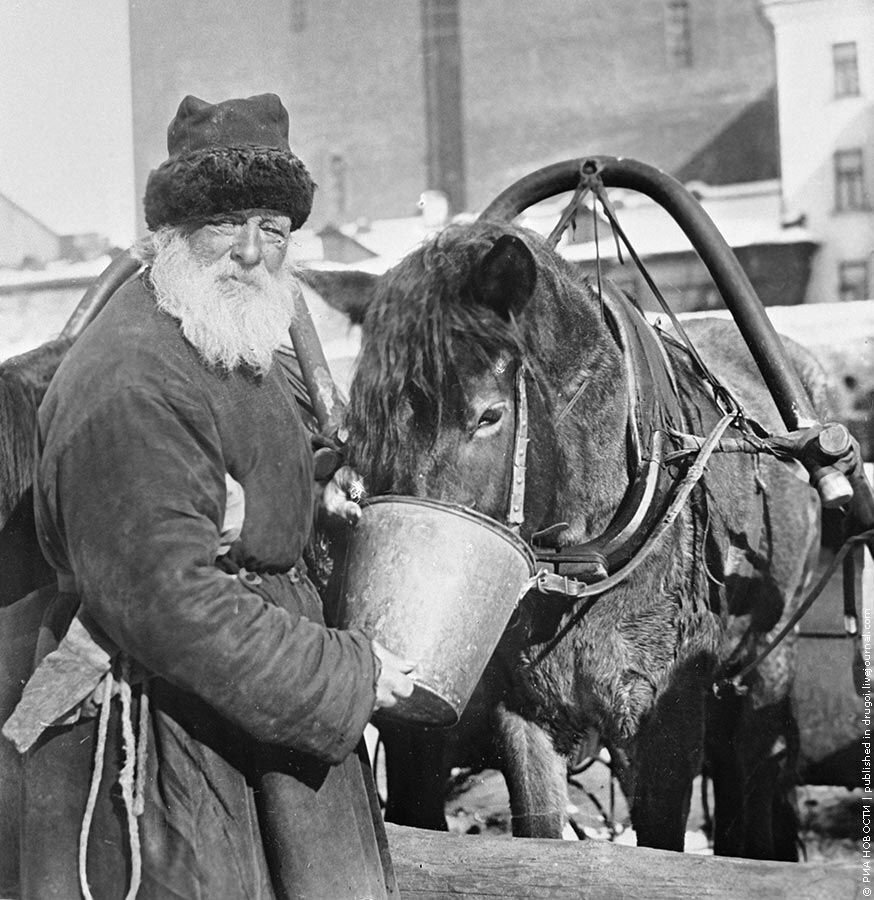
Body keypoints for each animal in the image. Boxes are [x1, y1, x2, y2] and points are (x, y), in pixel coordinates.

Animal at [336, 218, 832, 856]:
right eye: (364, 422)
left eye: (489, 416)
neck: (588, 557)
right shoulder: (525, 713)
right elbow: (540, 831)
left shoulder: (665, 719)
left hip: (767, 664)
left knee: (751, 773)